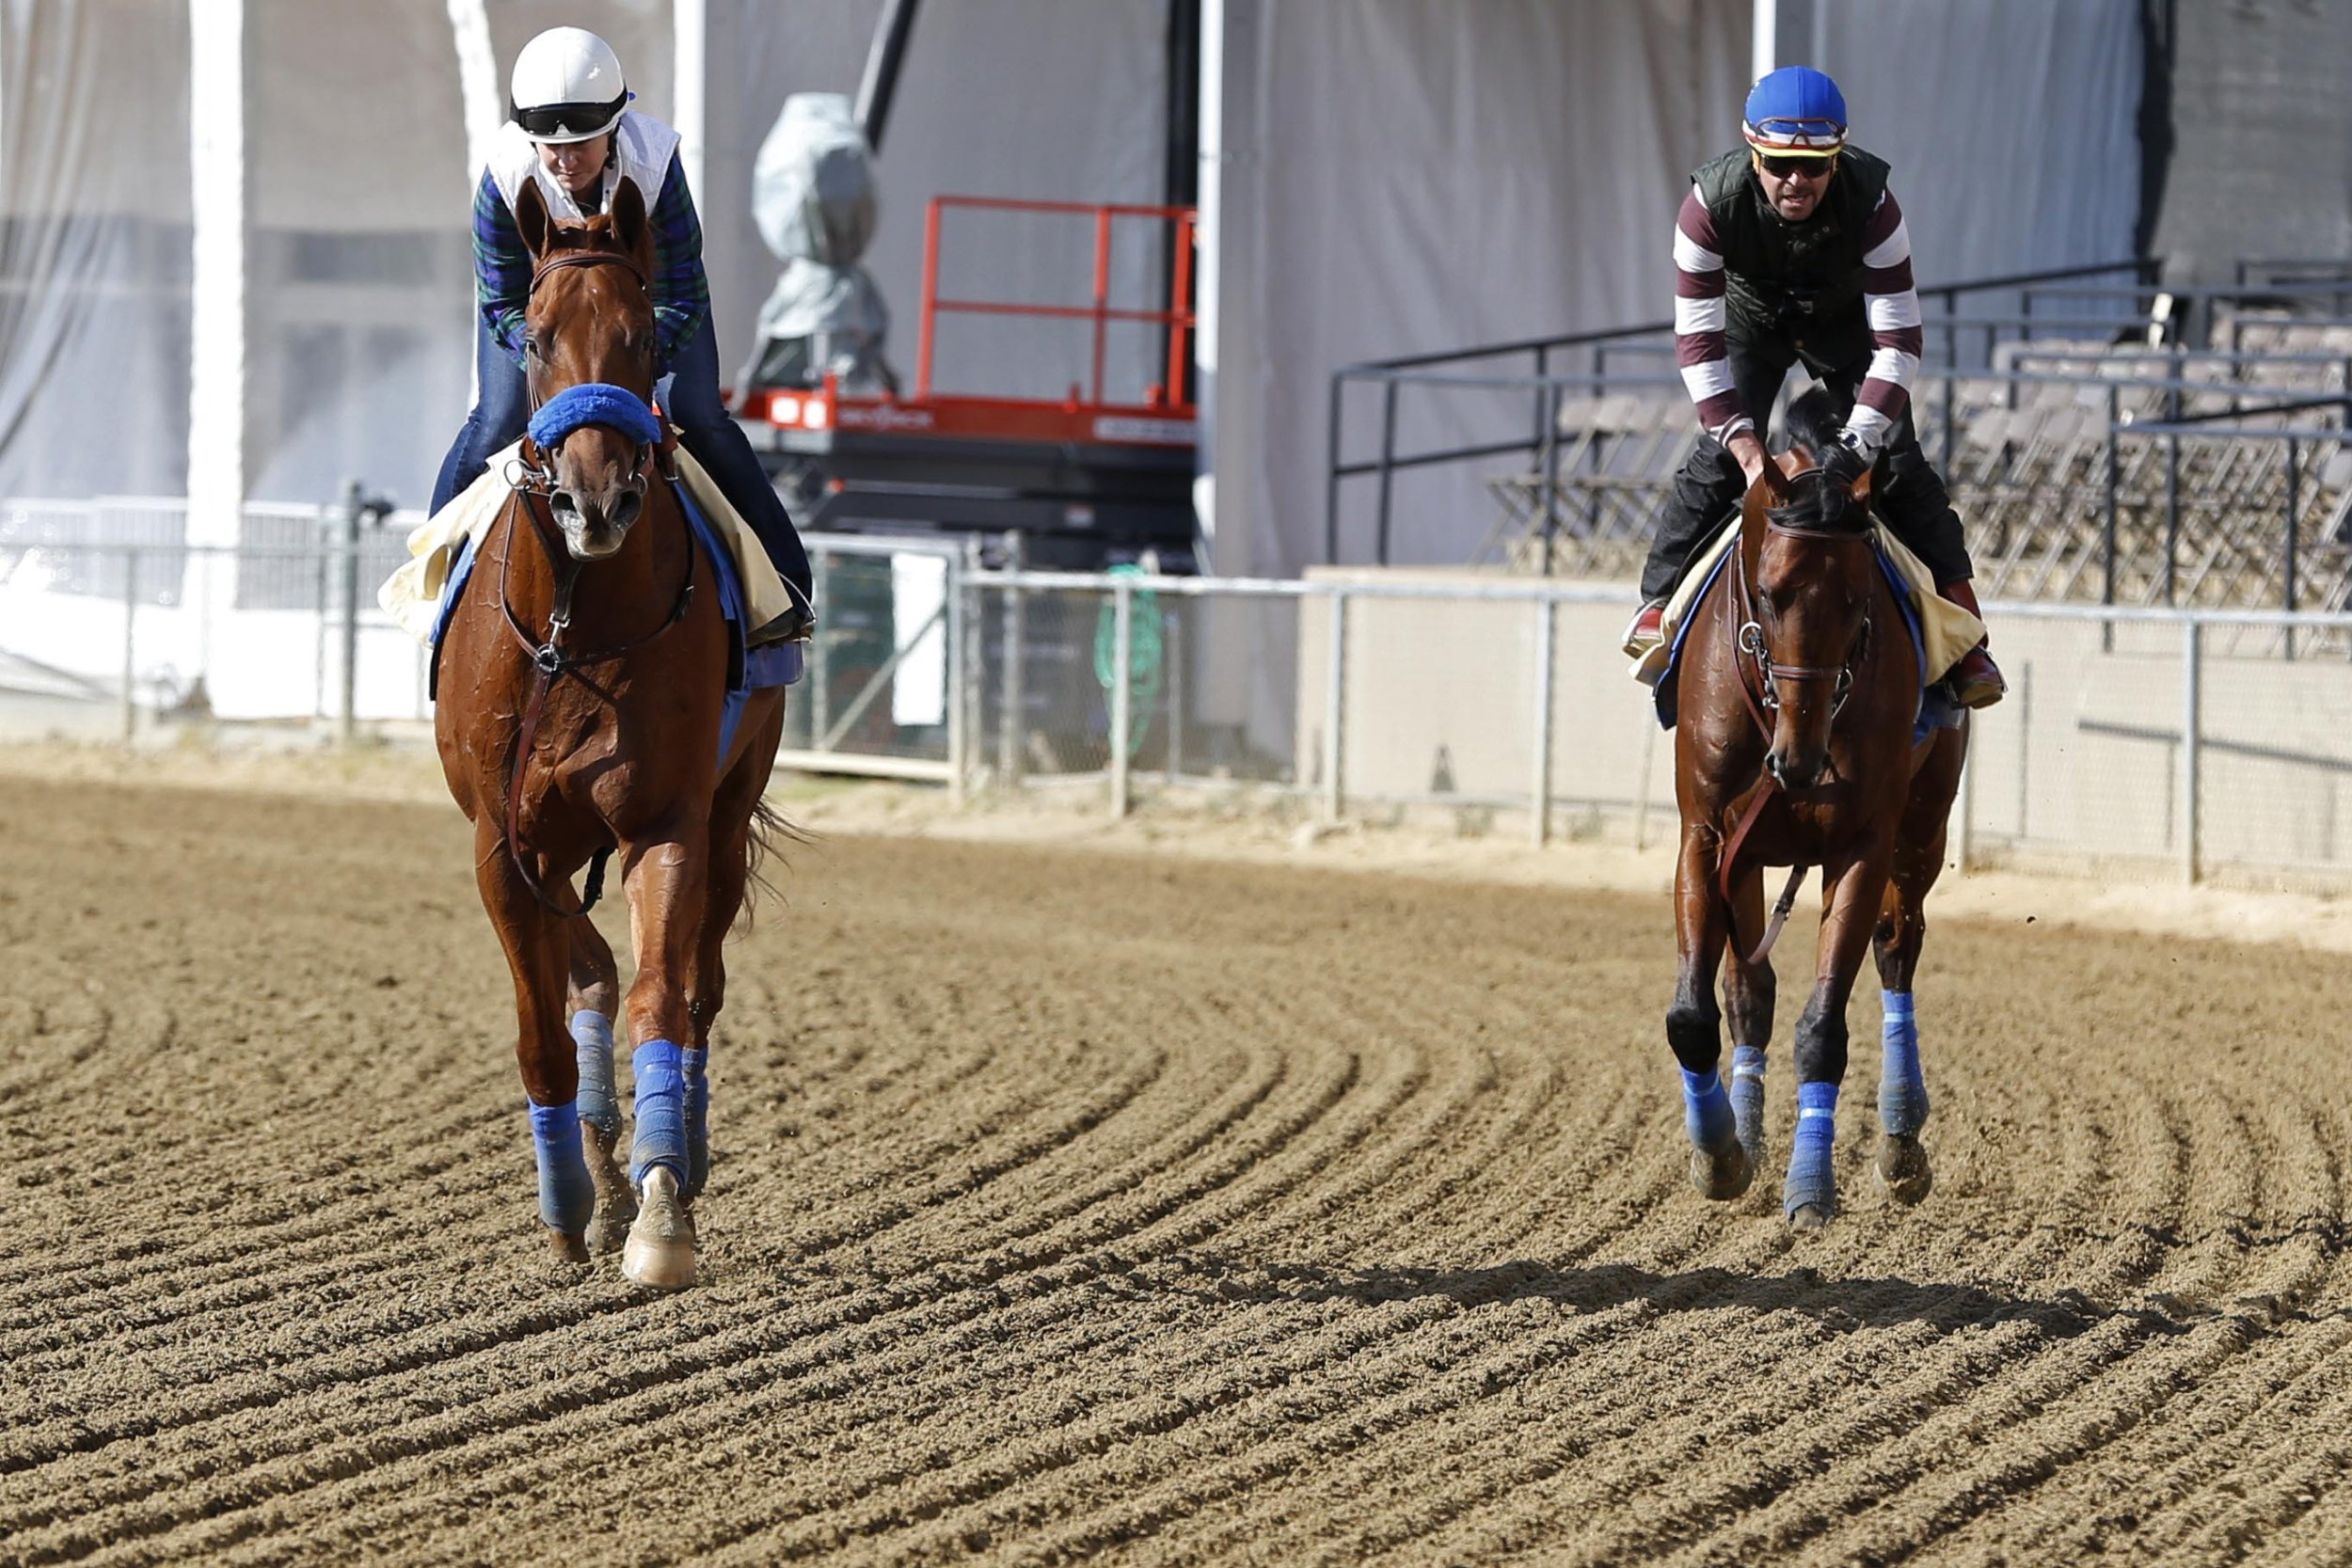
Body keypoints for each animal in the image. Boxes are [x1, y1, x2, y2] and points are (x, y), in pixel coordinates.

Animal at [428, 177, 786, 1297]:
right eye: (537, 338)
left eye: (642, 338)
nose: (595, 499)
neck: (573, 630)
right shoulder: (499, 845)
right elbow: (544, 1027)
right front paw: (569, 1206)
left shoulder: (665, 821)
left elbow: (660, 1000)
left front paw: (662, 1212)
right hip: (552, 844)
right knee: (584, 970)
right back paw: (596, 1161)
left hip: (727, 810)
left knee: (697, 986)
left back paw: (674, 1162)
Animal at [1665, 385, 1976, 1231]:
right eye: (1769, 593)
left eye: (1857, 595)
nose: (1799, 761)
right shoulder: (1708, 837)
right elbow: (1696, 1014)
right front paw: (1721, 1152)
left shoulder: (1862, 845)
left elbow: (1823, 1028)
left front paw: (1809, 1186)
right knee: (1749, 988)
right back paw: (1744, 1131)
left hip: (1924, 827)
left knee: (1898, 949)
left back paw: (1900, 1137)